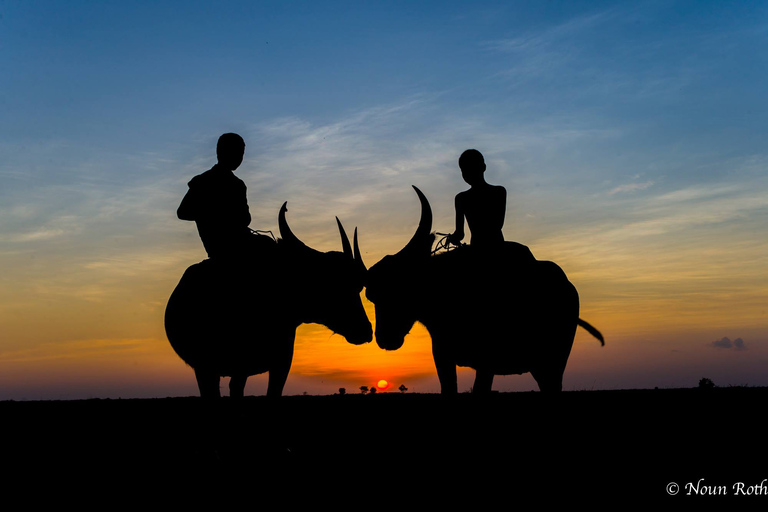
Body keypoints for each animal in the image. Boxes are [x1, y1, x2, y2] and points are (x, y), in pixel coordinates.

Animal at [368, 186, 608, 394]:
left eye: (399, 288)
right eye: (373, 297)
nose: (383, 338)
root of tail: (568, 287)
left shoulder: (487, 360)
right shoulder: (443, 356)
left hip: (553, 361)